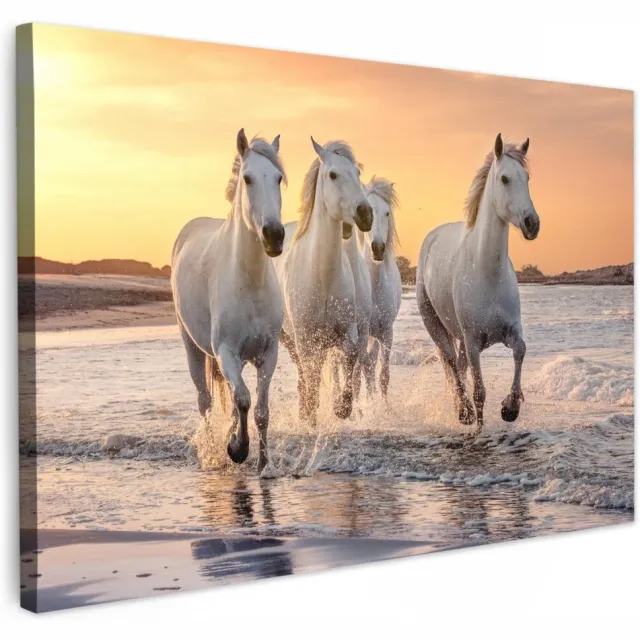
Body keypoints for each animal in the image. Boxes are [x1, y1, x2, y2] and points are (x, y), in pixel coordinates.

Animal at [171, 129, 286, 472]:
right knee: (205, 401)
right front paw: (237, 449)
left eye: (278, 178)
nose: (274, 235)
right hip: (193, 347)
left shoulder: (268, 354)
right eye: (247, 179)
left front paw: (263, 464)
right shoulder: (226, 352)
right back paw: (212, 451)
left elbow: (259, 410)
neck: (249, 283)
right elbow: (244, 400)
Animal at [277, 138, 373, 427]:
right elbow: (312, 376)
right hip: (289, 339)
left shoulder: (348, 332)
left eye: (358, 173)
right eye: (332, 174)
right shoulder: (306, 339)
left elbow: (350, 358)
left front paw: (342, 408)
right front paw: (311, 414)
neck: (323, 277)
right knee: (304, 374)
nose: (365, 214)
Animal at [416, 134, 540, 431]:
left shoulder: (510, 331)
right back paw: (463, 412)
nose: (532, 223)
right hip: (435, 324)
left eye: (527, 177)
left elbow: (521, 350)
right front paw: (480, 426)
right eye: (505, 179)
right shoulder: (473, 342)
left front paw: (510, 407)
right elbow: (480, 391)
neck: (488, 273)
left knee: (457, 368)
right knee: (451, 363)